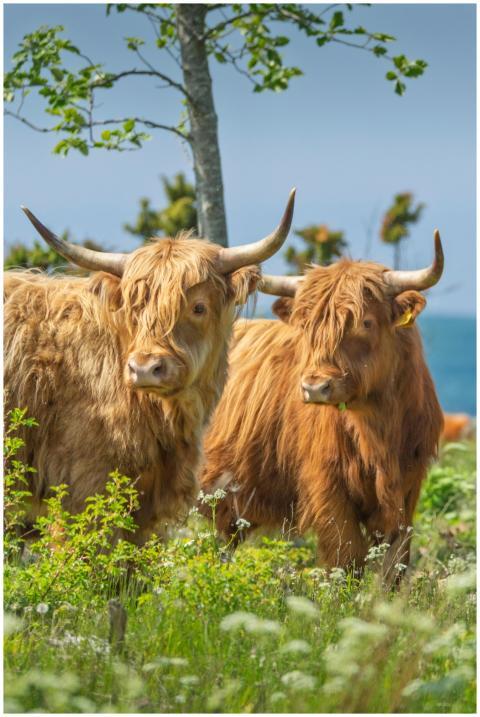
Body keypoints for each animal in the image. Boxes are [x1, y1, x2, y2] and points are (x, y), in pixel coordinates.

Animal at [199, 232, 444, 583]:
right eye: (307, 326)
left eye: (366, 322)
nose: (315, 387)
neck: (378, 432)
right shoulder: (328, 487)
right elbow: (347, 557)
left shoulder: (407, 489)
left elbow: (394, 564)